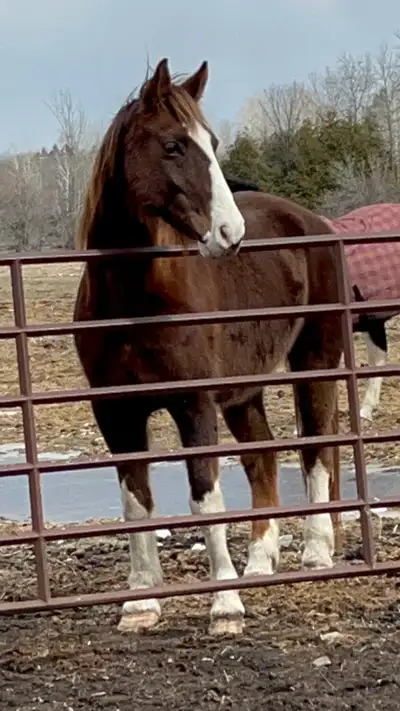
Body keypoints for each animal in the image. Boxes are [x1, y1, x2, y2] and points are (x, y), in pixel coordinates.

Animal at [73, 58, 343, 636]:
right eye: (174, 145)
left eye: (212, 143)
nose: (230, 233)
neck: (135, 298)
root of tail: (315, 222)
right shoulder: (116, 412)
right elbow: (137, 501)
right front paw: (141, 602)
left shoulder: (194, 404)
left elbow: (206, 498)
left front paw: (224, 606)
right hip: (243, 393)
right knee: (264, 460)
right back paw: (260, 563)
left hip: (315, 366)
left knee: (317, 450)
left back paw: (316, 552)